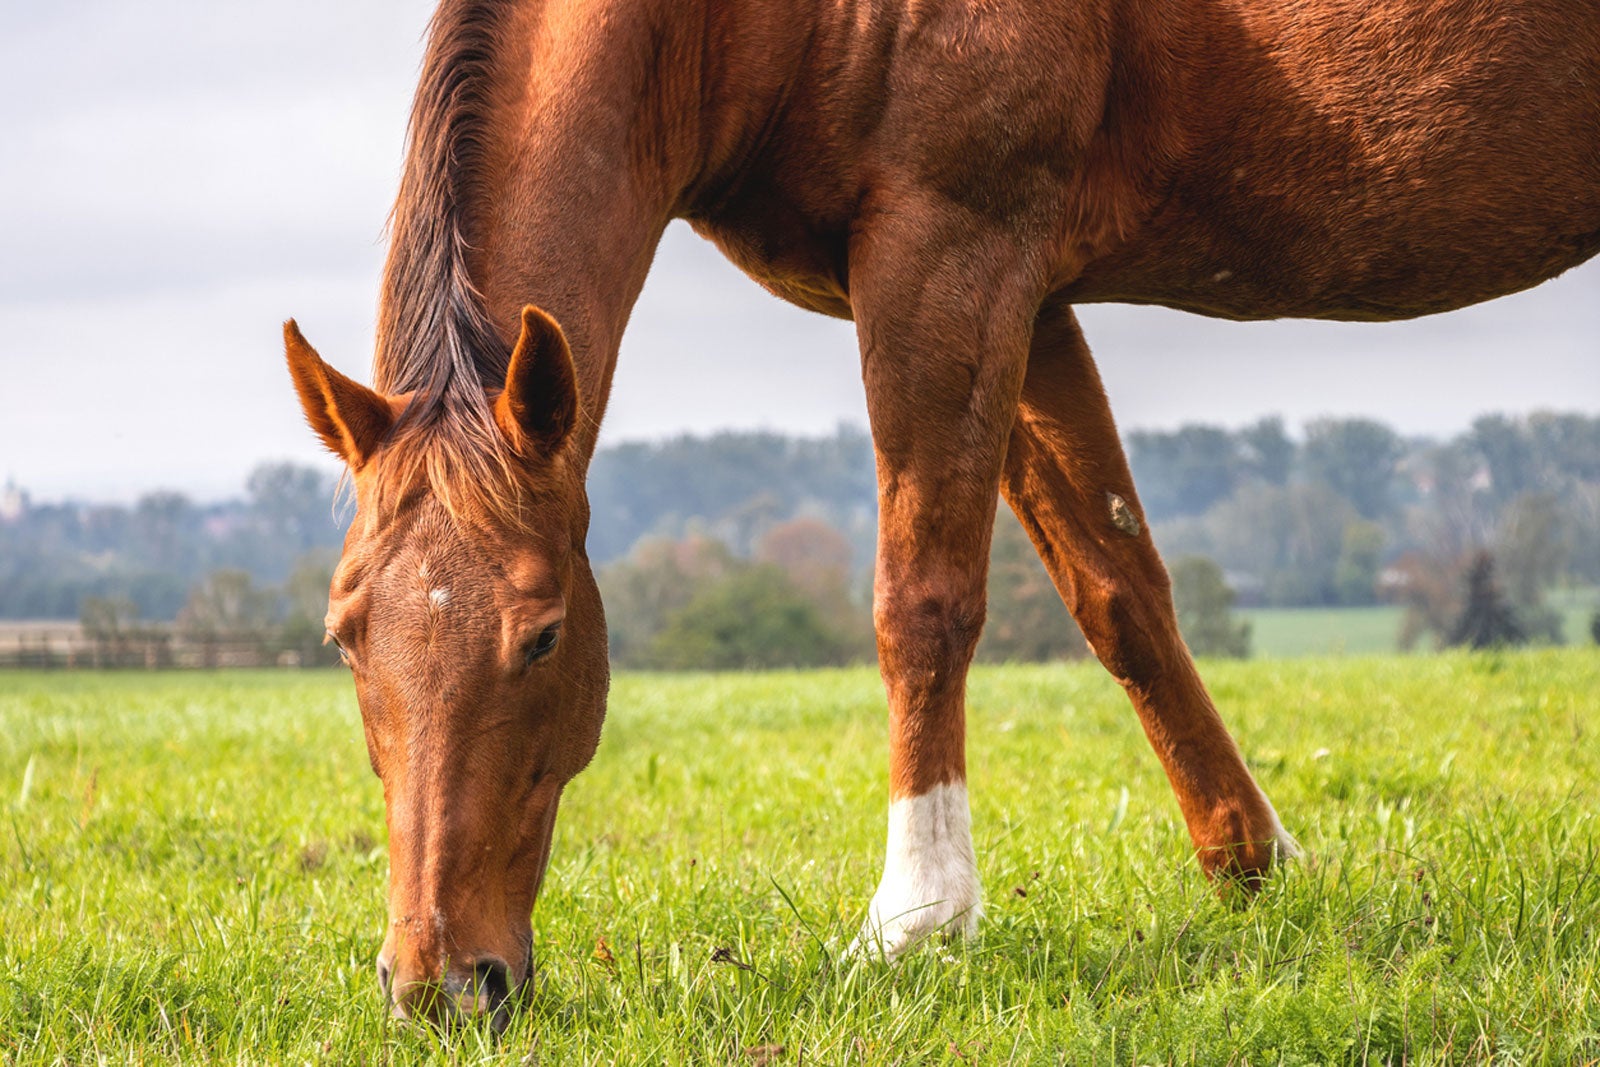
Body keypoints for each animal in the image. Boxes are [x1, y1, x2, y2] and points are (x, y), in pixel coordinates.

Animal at [288, 0, 1600, 1036]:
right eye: (344, 635)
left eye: (546, 634)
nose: (438, 982)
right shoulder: (1027, 296)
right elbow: (1118, 588)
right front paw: (1254, 866)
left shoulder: (949, 254)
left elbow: (920, 601)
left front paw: (916, 915)